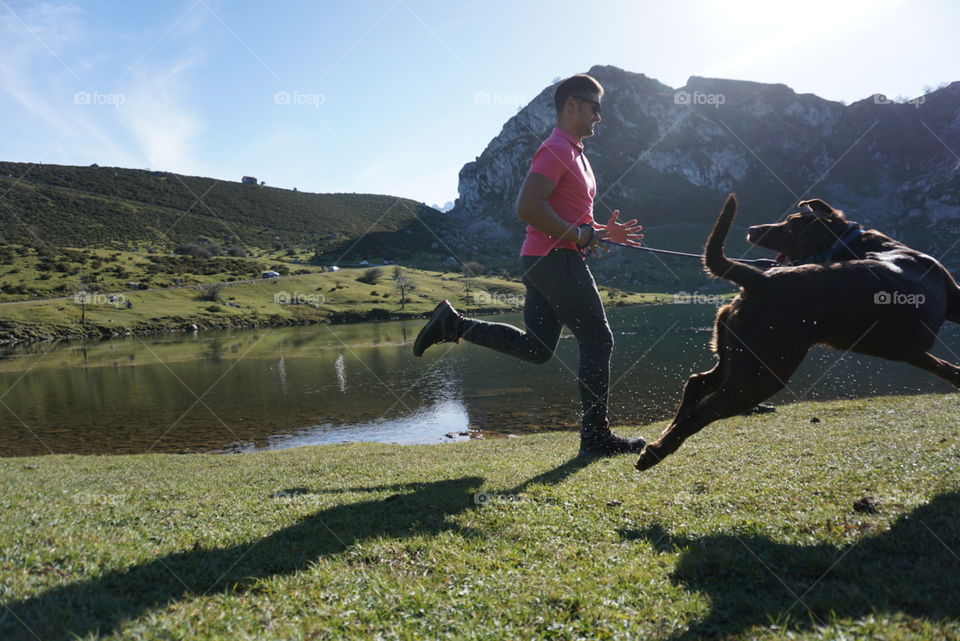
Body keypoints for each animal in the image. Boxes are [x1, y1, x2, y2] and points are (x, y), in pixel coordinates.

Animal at [636, 194, 960, 470]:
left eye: (791, 224)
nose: (752, 229)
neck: (856, 244)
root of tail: (761, 280)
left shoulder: (910, 349)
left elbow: (942, 366)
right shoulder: (952, 301)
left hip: (738, 355)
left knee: (698, 382)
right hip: (764, 373)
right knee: (708, 409)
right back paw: (656, 451)